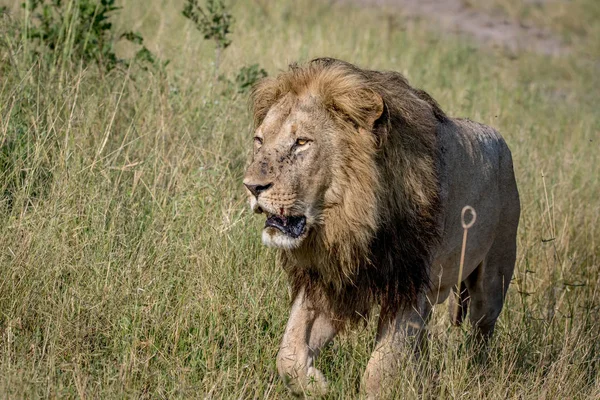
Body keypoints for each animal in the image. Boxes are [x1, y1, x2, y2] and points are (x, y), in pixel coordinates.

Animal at [244, 58, 520, 396]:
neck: (350, 221)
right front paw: (317, 385)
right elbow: (288, 353)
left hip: (492, 278)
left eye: (302, 143)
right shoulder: (331, 281)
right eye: (259, 140)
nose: (252, 187)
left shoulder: (409, 286)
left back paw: (476, 373)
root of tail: (500, 139)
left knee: (482, 332)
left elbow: (380, 370)